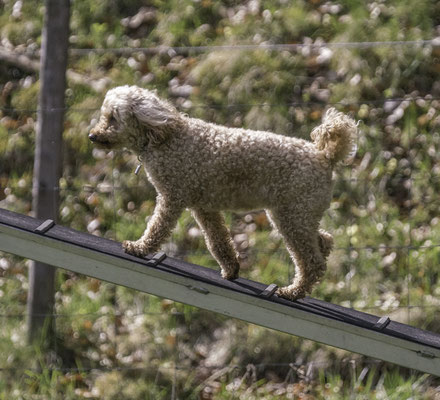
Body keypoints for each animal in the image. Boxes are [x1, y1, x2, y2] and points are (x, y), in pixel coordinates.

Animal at [89, 86, 358, 300]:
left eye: (113, 118)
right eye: (104, 116)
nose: (92, 135)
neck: (163, 136)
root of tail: (325, 156)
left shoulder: (171, 198)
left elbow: (157, 227)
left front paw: (139, 247)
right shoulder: (204, 208)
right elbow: (217, 241)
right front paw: (231, 270)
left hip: (291, 216)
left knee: (311, 262)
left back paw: (293, 292)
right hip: (299, 214)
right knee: (323, 241)